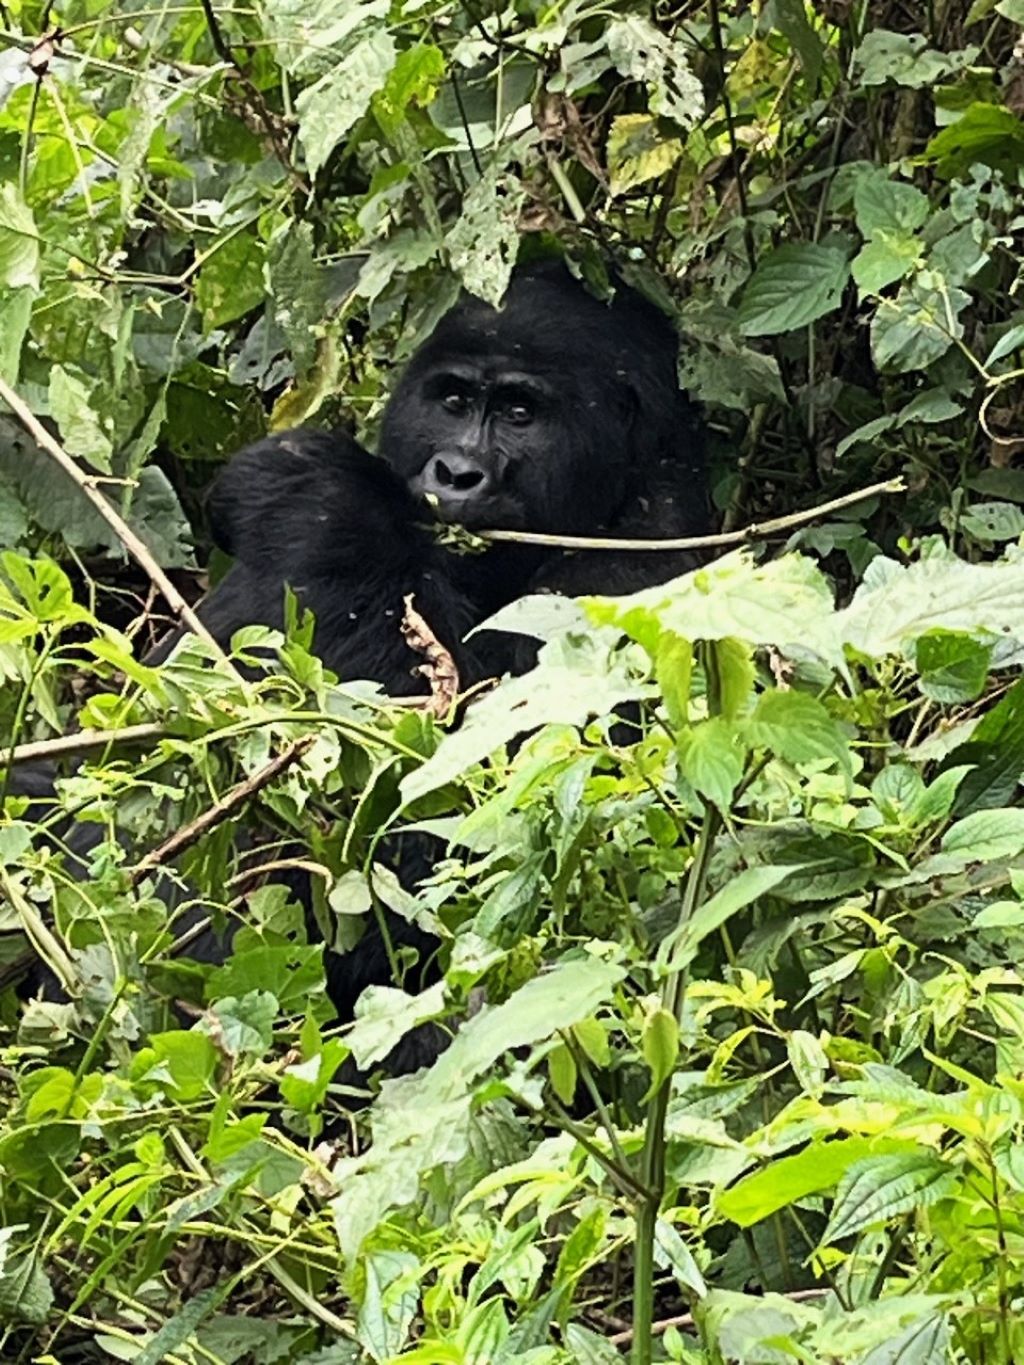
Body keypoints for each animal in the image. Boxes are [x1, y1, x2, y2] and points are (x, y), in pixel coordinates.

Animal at [16, 260, 709, 1075]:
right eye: (452, 401)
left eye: (519, 413)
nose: (456, 472)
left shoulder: (640, 575)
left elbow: (470, 852)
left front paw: (325, 498)